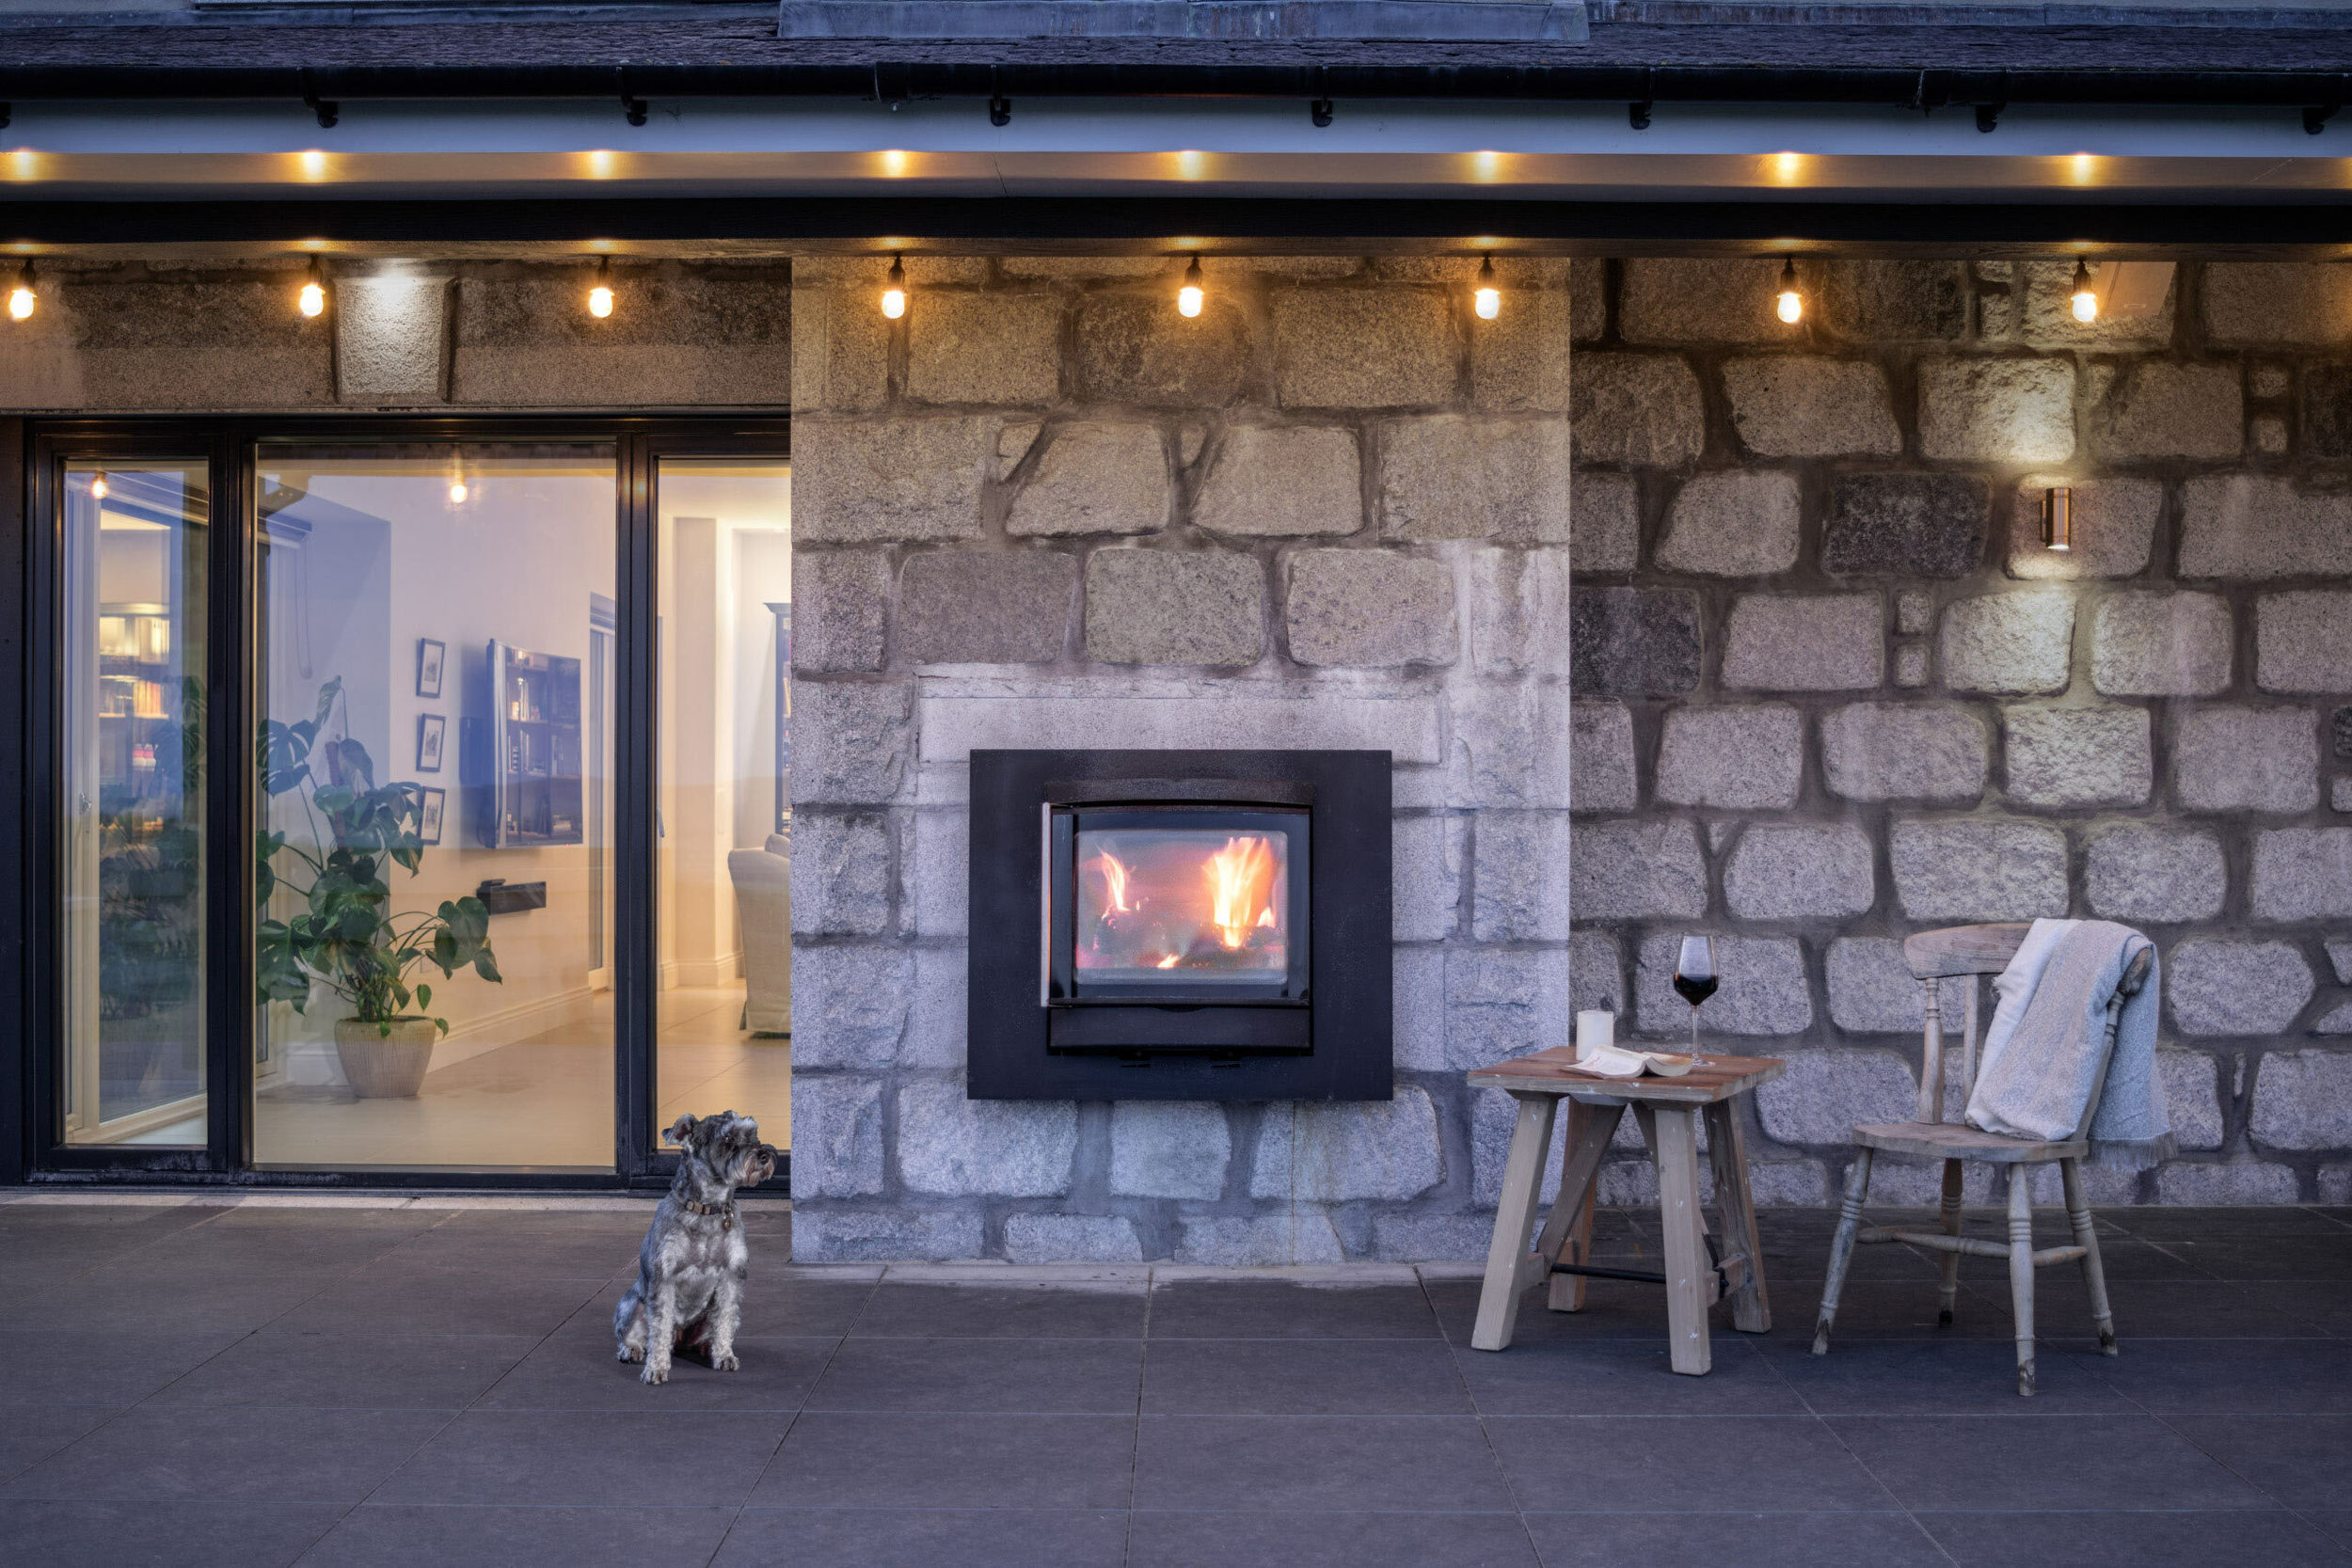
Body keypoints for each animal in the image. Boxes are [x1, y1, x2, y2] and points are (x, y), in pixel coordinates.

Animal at [616, 1114, 781, 1382]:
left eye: (753, 1133)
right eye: (727, 1138)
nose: (764, 1155)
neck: (708, 1209)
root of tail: (680, 1340)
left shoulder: (731, 1278)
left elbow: (724, 1319)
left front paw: (724, 1355)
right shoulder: (664, 1279)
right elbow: (659, 1329)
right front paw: (655, 1369)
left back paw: (708, 1347)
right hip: (630, 1305)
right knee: (636, 1334)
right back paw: (631, 1349)